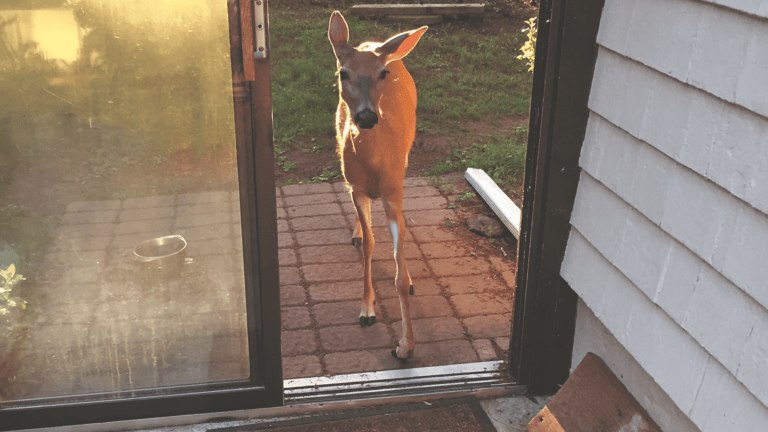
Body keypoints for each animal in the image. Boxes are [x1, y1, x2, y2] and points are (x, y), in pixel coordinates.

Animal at [328, 11, 427, 360]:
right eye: (343, 73)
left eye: (382, 73)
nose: (367, 118)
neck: (373, 166)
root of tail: (374, 42)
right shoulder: (357, 187)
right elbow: (371, 245)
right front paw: (366, 310)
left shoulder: (393, 191)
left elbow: (399, 274)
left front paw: (406, 346)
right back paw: (357, 233)